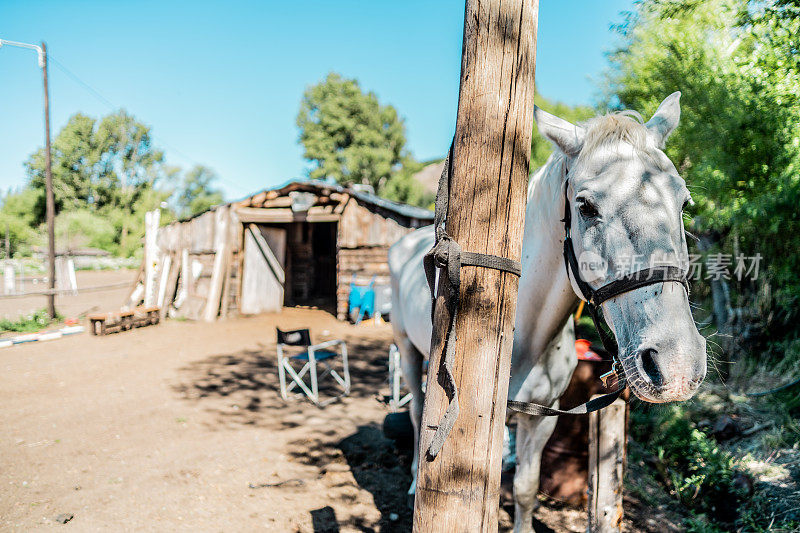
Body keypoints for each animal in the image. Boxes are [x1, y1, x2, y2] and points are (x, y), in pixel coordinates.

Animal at [388, 92, 708, 532]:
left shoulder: (542, 417)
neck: (521, 329)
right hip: (407, 350)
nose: (676, 366)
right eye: (585, 206)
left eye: (683, 201)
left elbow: (526, 486)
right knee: (418, 412)